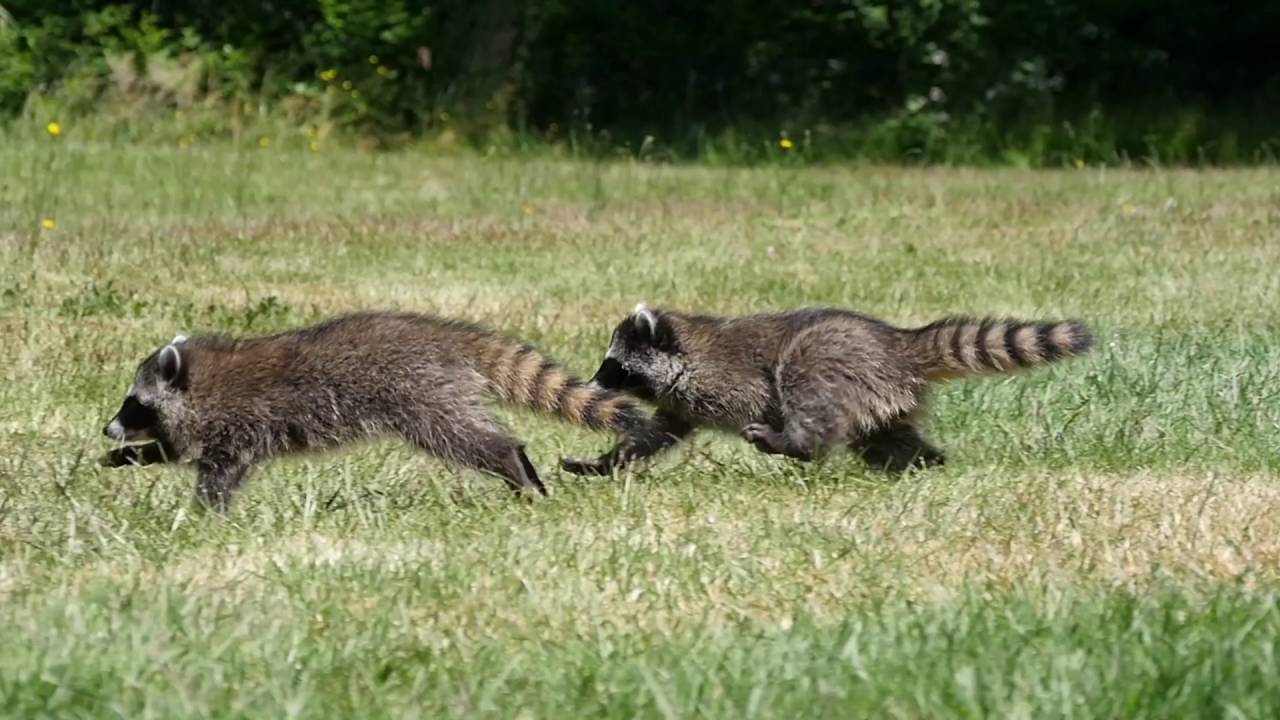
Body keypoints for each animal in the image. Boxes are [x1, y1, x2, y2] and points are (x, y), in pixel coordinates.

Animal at [99, 311, 654, 510]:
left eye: (133, 402)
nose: (108, 429)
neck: (200, 378)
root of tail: (440, 335)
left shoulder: (237, 422)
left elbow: (217, 472)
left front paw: (203, 514)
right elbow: (181, 451)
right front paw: (137, 456)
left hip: (423, 395)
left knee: (465, 437)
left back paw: (509, 460)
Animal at [560, 304, 1093, 475]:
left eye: (613, 366)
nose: (593, 384)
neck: (685, 350)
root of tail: (898, 343)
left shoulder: (723, 379)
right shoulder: (680, 402)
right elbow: (657, 434)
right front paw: (606, 462)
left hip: (829, 359)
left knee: (806, 390)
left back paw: (796, 445)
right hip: (880, 391)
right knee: (886, 437)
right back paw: (923, 463)